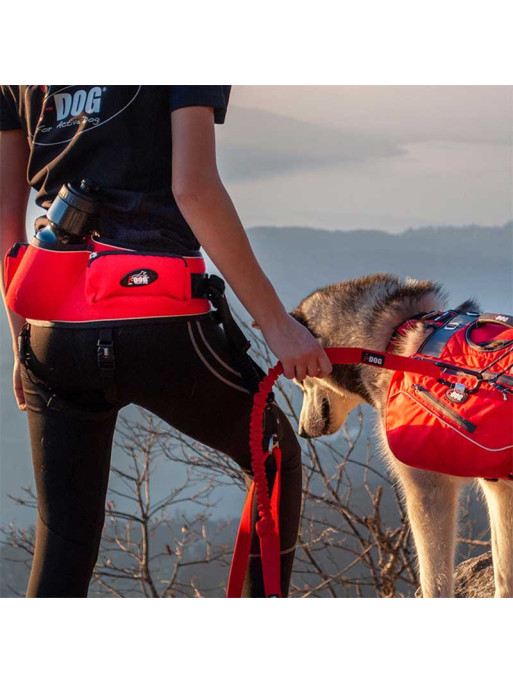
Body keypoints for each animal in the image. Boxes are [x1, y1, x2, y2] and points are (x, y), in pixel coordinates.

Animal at [288, 274, 512, 600]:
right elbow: (505, 575)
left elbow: (434, 583)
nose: (302, 431)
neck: (393, 339)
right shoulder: (499, 487)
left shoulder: (426, 490)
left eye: (300, 380)